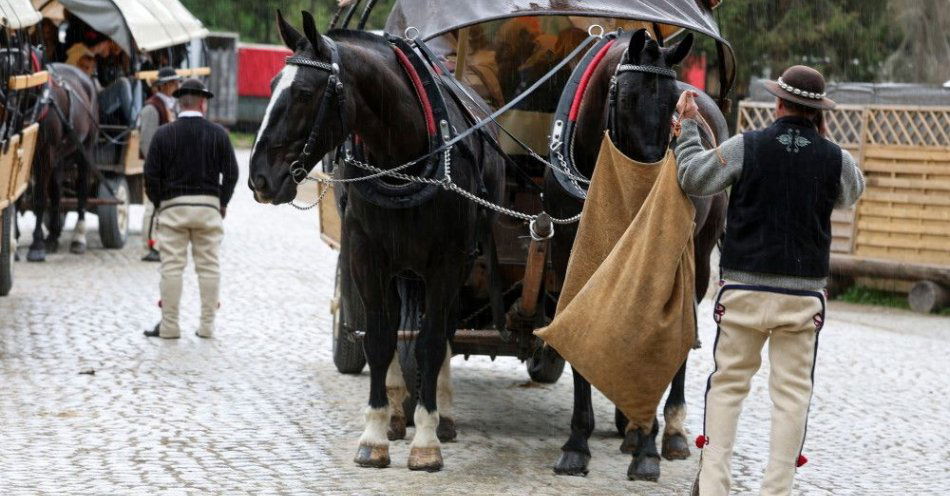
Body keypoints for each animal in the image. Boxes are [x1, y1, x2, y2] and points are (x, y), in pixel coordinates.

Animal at [26, 63, 98, 260]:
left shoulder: (44, 153)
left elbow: (40, 197)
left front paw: (36, 245)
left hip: (85, 148)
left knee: (82, 187)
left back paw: (78, 237)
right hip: (58, 155)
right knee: (56, 188)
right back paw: (53, 234)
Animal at [249, 9, 510, 470]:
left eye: (302, 93)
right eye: (272, 84)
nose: (259, 177)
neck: (406, 157)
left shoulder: (447, 262)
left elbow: (430, 342)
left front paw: (426, 439)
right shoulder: (366, 256)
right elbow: (379, 338)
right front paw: (374, 433)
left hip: (455, 265)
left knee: (441, 331)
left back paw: (441, 414)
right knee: (392, 328)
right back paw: (395, 410)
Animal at [544, 30, 728, 480]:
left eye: (675, 101)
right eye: (626, 98)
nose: (655, 190)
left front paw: (647, 447)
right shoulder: (569, 253)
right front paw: (577, 443)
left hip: (697, 255)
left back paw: (670, 430)